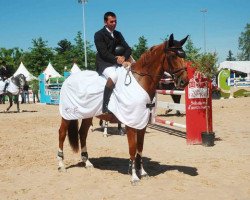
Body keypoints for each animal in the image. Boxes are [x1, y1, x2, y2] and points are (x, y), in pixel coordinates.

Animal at [57, 33, 189, 184]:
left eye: (184, 55)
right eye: (173, 56)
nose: (184, 81)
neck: (140, 81)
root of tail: (69, 79)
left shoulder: (142, 124)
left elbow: (140, 148)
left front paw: (143, 172)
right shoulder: (131, 124)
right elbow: (132, 148)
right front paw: (134, 176)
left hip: (87, 115)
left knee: (82, 134)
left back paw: (87, 162)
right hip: (67, 115)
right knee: (62, 134)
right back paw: (61, 164)